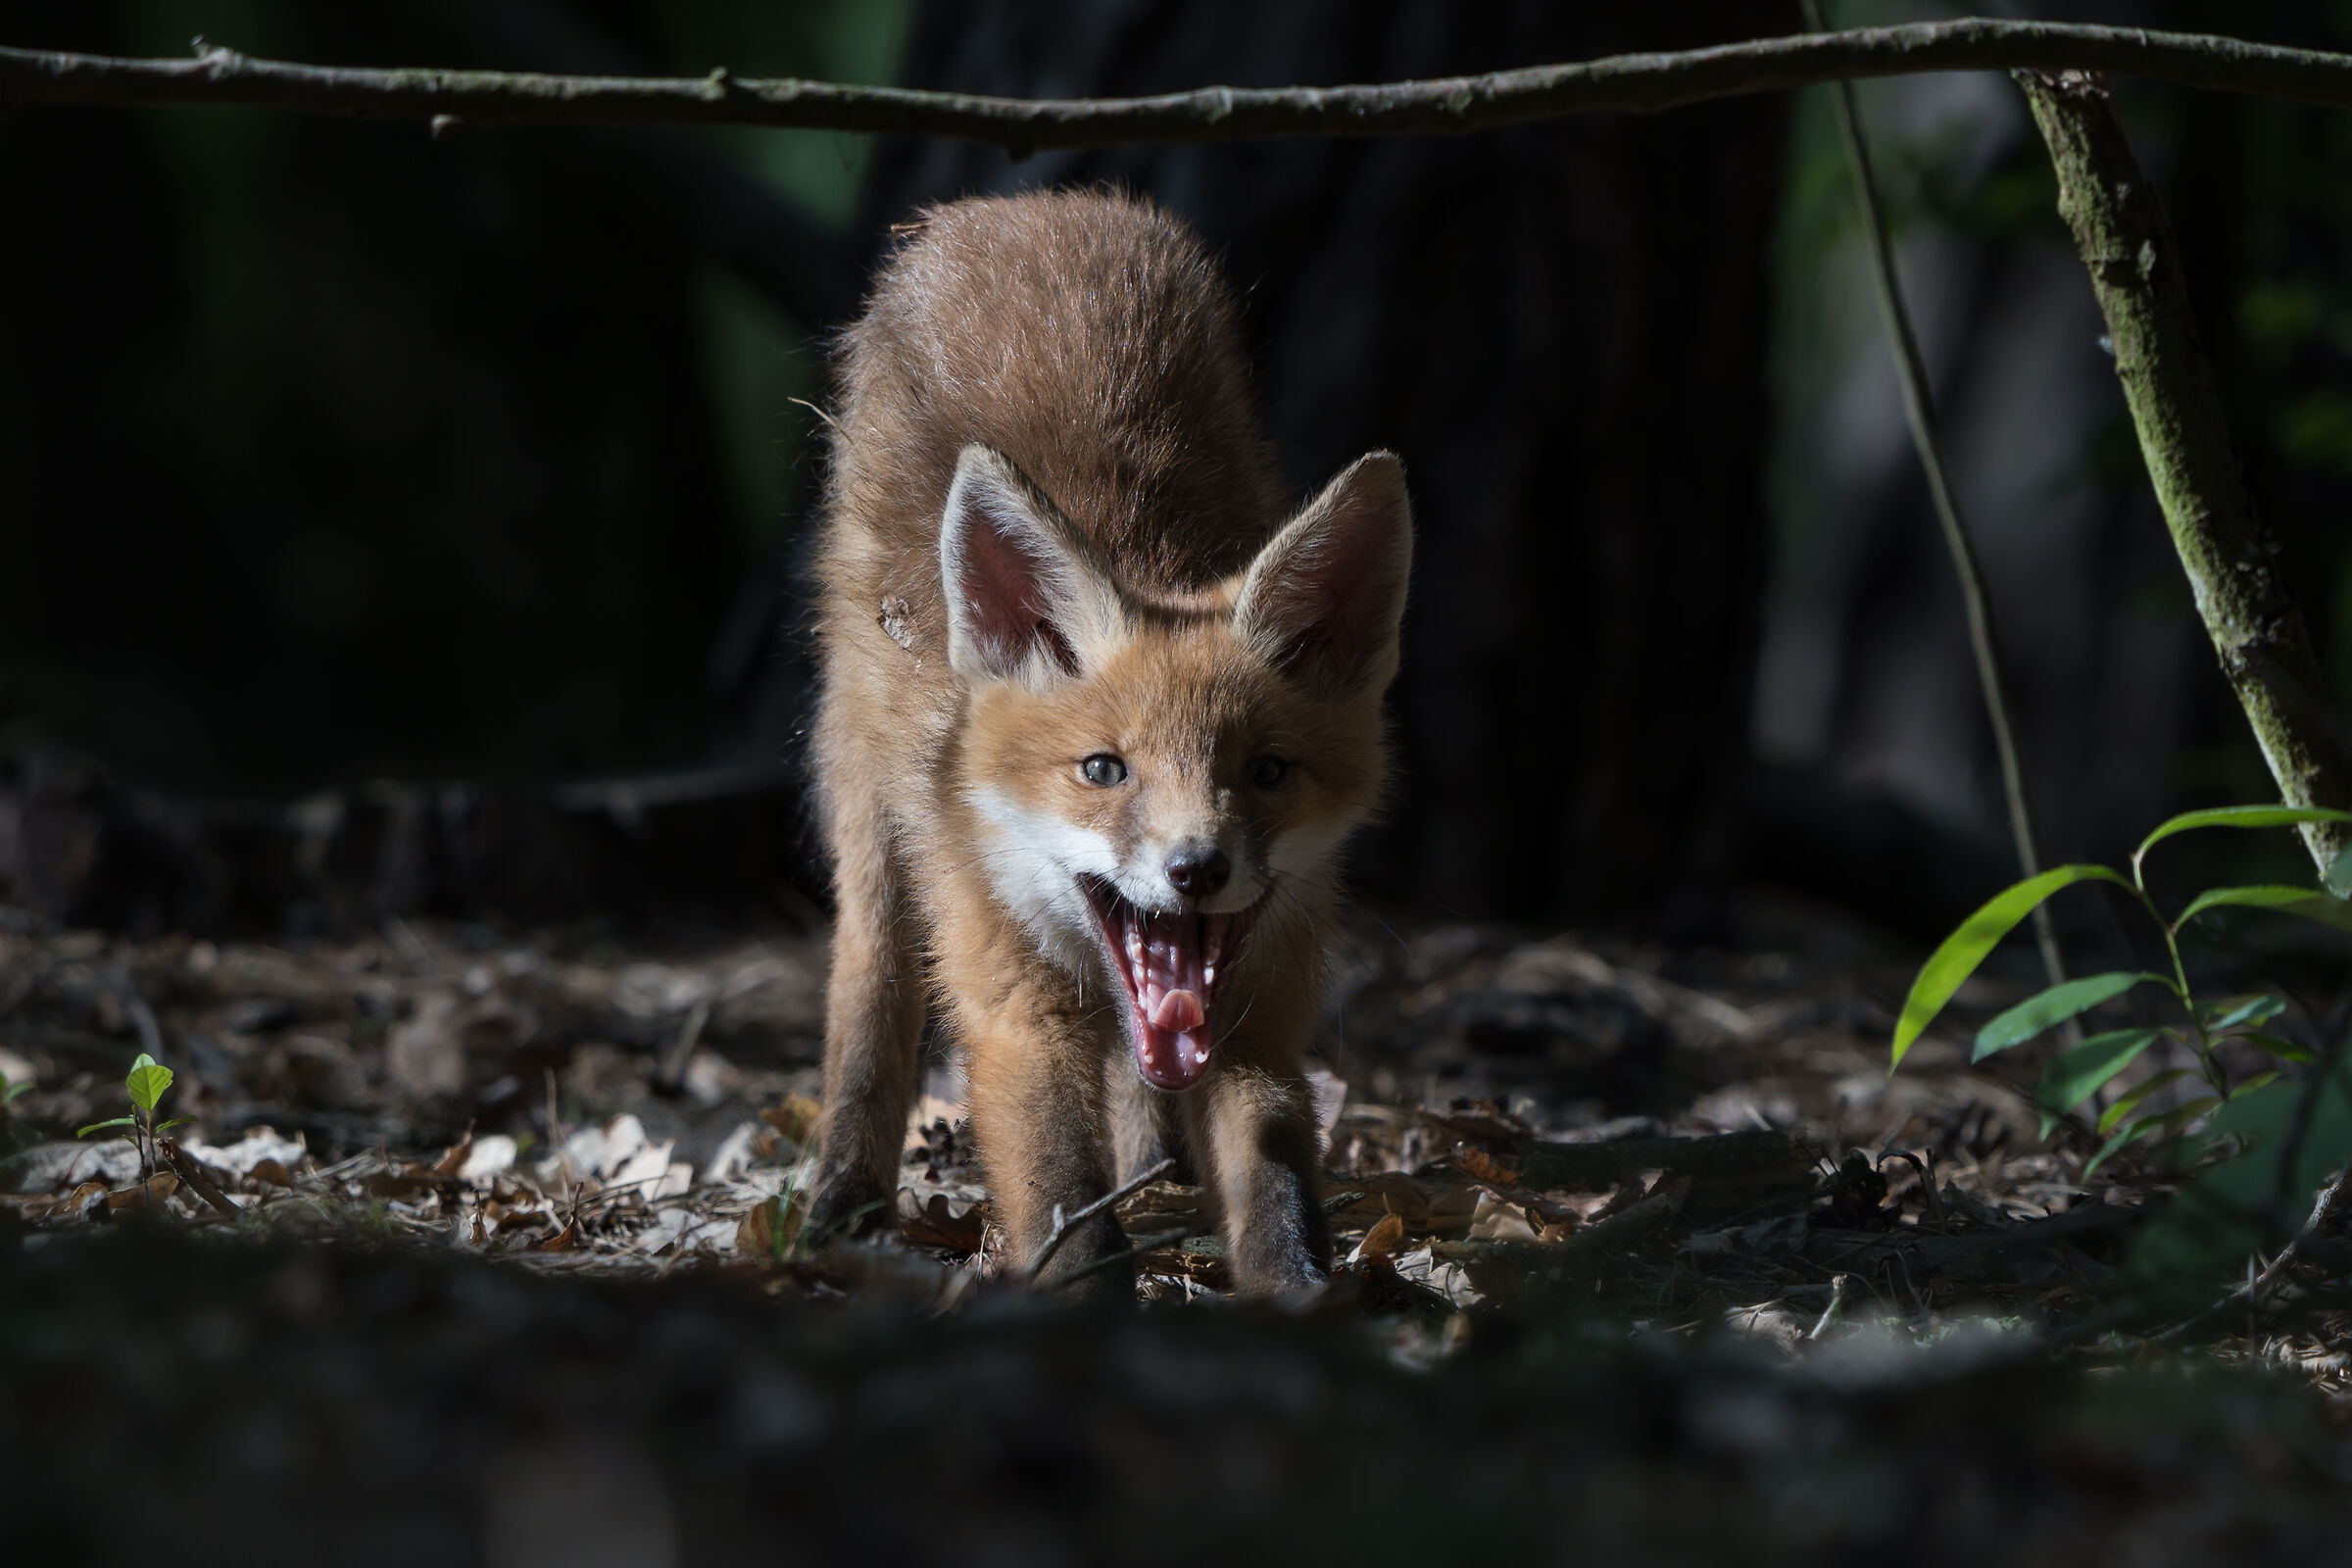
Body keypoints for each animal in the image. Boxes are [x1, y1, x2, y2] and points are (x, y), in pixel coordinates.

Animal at [804, 188, 1412, 1296]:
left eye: (1265, 771)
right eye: (1103, 770)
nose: (1195, 869)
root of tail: (1022, 205)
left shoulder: (1260, 1005)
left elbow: (1274, 1170)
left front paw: (1301, 1294)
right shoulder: (1008, 998)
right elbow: (1056, 1185)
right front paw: (1083, 1295)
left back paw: (1153, 1175)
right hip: (865, 801)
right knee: (868, 996)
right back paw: (842, 1198)